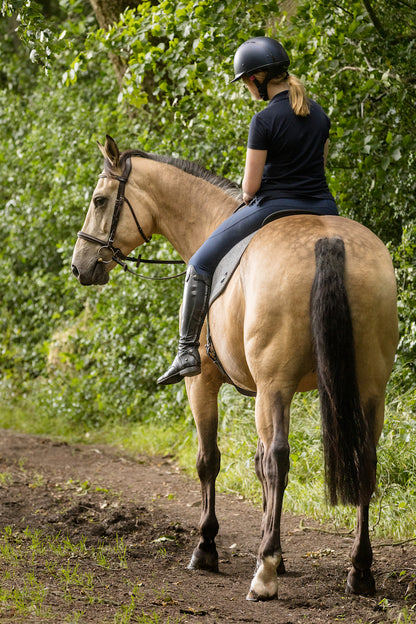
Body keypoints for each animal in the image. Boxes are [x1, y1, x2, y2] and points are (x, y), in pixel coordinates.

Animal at [72, 135, 400, 600]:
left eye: (99, 200)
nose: (80, 265)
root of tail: (328, 241)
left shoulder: (204, 384)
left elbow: (210, 460)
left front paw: (208, 548)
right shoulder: (267, 390)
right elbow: (259, 466)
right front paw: (275, 550)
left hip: (277, 385)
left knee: (278, 460)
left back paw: (264, 576)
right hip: (368, 386)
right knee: (362, 460)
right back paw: (359, 570)